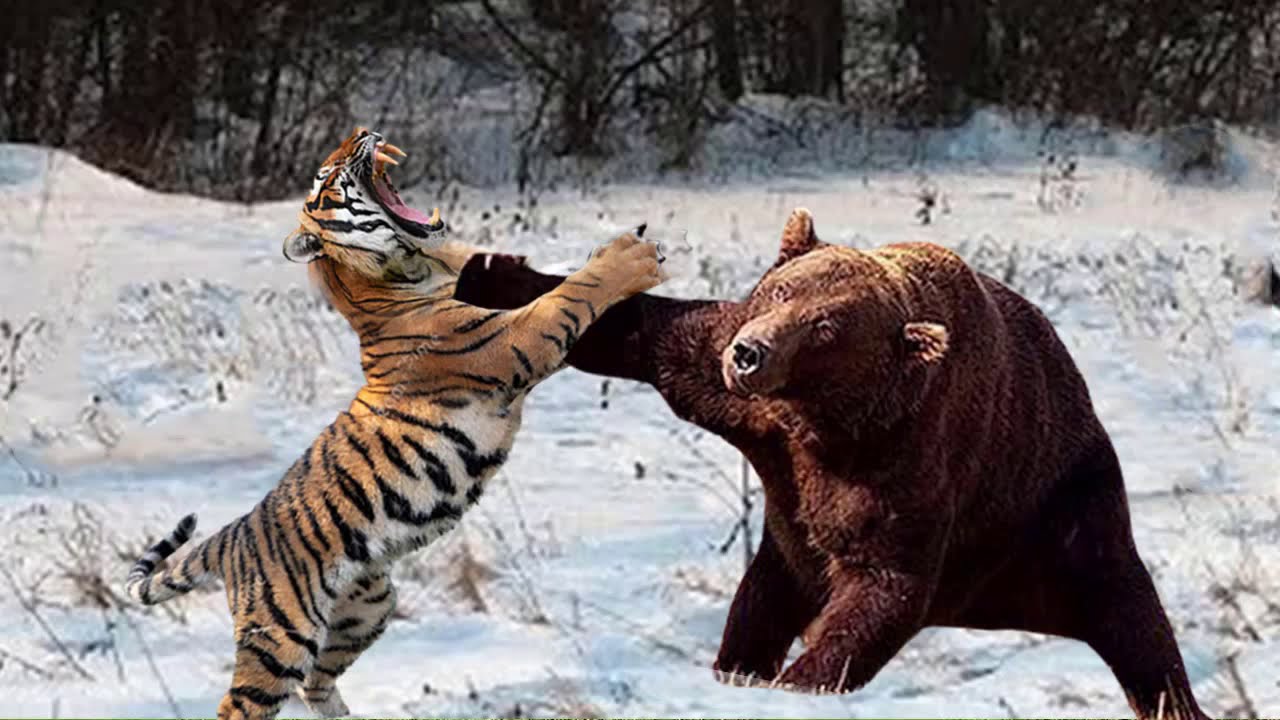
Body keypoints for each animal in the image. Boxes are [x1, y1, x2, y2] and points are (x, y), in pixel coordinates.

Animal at [123, 127, 666, 720]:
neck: (412, 270)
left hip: (367, 606)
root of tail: (233, 535)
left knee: (318, 682)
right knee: (245, 702)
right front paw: (630, 256)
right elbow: (568, 297)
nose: (360, 132)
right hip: (282, 637)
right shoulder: (514, 341)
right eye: (324, 177)